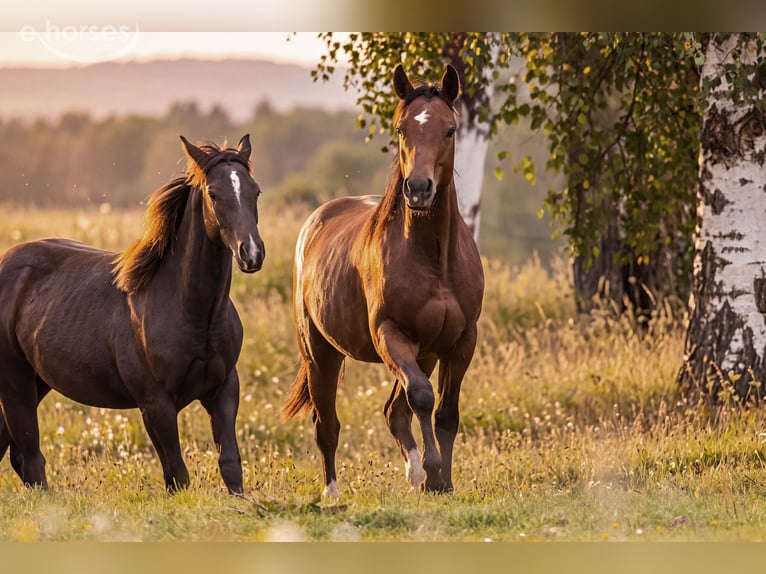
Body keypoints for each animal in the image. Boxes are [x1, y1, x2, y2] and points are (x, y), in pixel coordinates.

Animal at [0, 134, 265, 494]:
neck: (193, 314)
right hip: (15, 382)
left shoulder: (223, 390)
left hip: (37, 380)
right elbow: (177, 474)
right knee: (30, 458)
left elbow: (231, 466)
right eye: (213, 193)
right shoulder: (156, 403)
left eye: (255, 190)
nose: (250, 253)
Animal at [281, 64, 484, 496]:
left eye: (450, 129)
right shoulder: (390, 333)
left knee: (394, 410)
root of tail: (315, 222)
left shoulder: (461, 340)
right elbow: (422, 396)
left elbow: (446, 412)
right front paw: (433, 470)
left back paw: (415, 473)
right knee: (327, 424)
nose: (419, 189)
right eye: (402, 128)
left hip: (423, 352)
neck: (435, 261)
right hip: (320, 352)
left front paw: (442, 480)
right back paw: (333, 493)